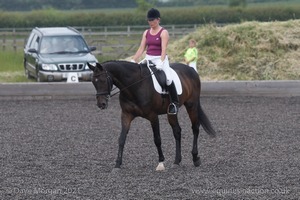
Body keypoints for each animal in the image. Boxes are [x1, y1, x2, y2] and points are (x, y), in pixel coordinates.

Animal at [86, 60, 216, 170]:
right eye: (93, 82)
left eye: (103, 80)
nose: (101, 104)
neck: (135, 86)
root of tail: (191, 69)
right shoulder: (126, 115)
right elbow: (121, 139)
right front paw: (117, 164)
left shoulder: (153, 116)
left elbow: (157, 139)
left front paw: (161, 163)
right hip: (171, 112)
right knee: (177, 131)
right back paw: (176, 161)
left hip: (191, 105)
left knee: (195, 128)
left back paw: (195, 158)